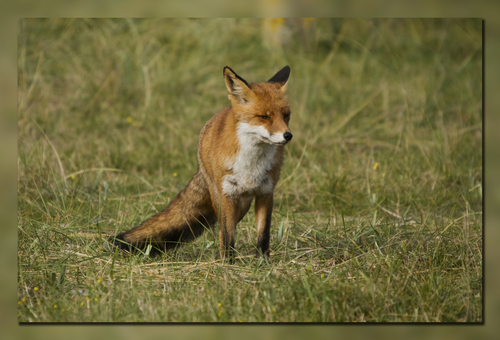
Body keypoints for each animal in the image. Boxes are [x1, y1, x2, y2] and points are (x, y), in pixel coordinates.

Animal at [109, 65, 292, 262]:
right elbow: (228, 235)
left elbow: (263, 235)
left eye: (286, 115)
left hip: (243, 204)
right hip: (226, 200)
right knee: (222, 231)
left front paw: (263, 263)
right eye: (263, 116)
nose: (288, 136)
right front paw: (229, 264)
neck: (251, 164)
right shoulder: (227, 195)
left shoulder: (266, 192)